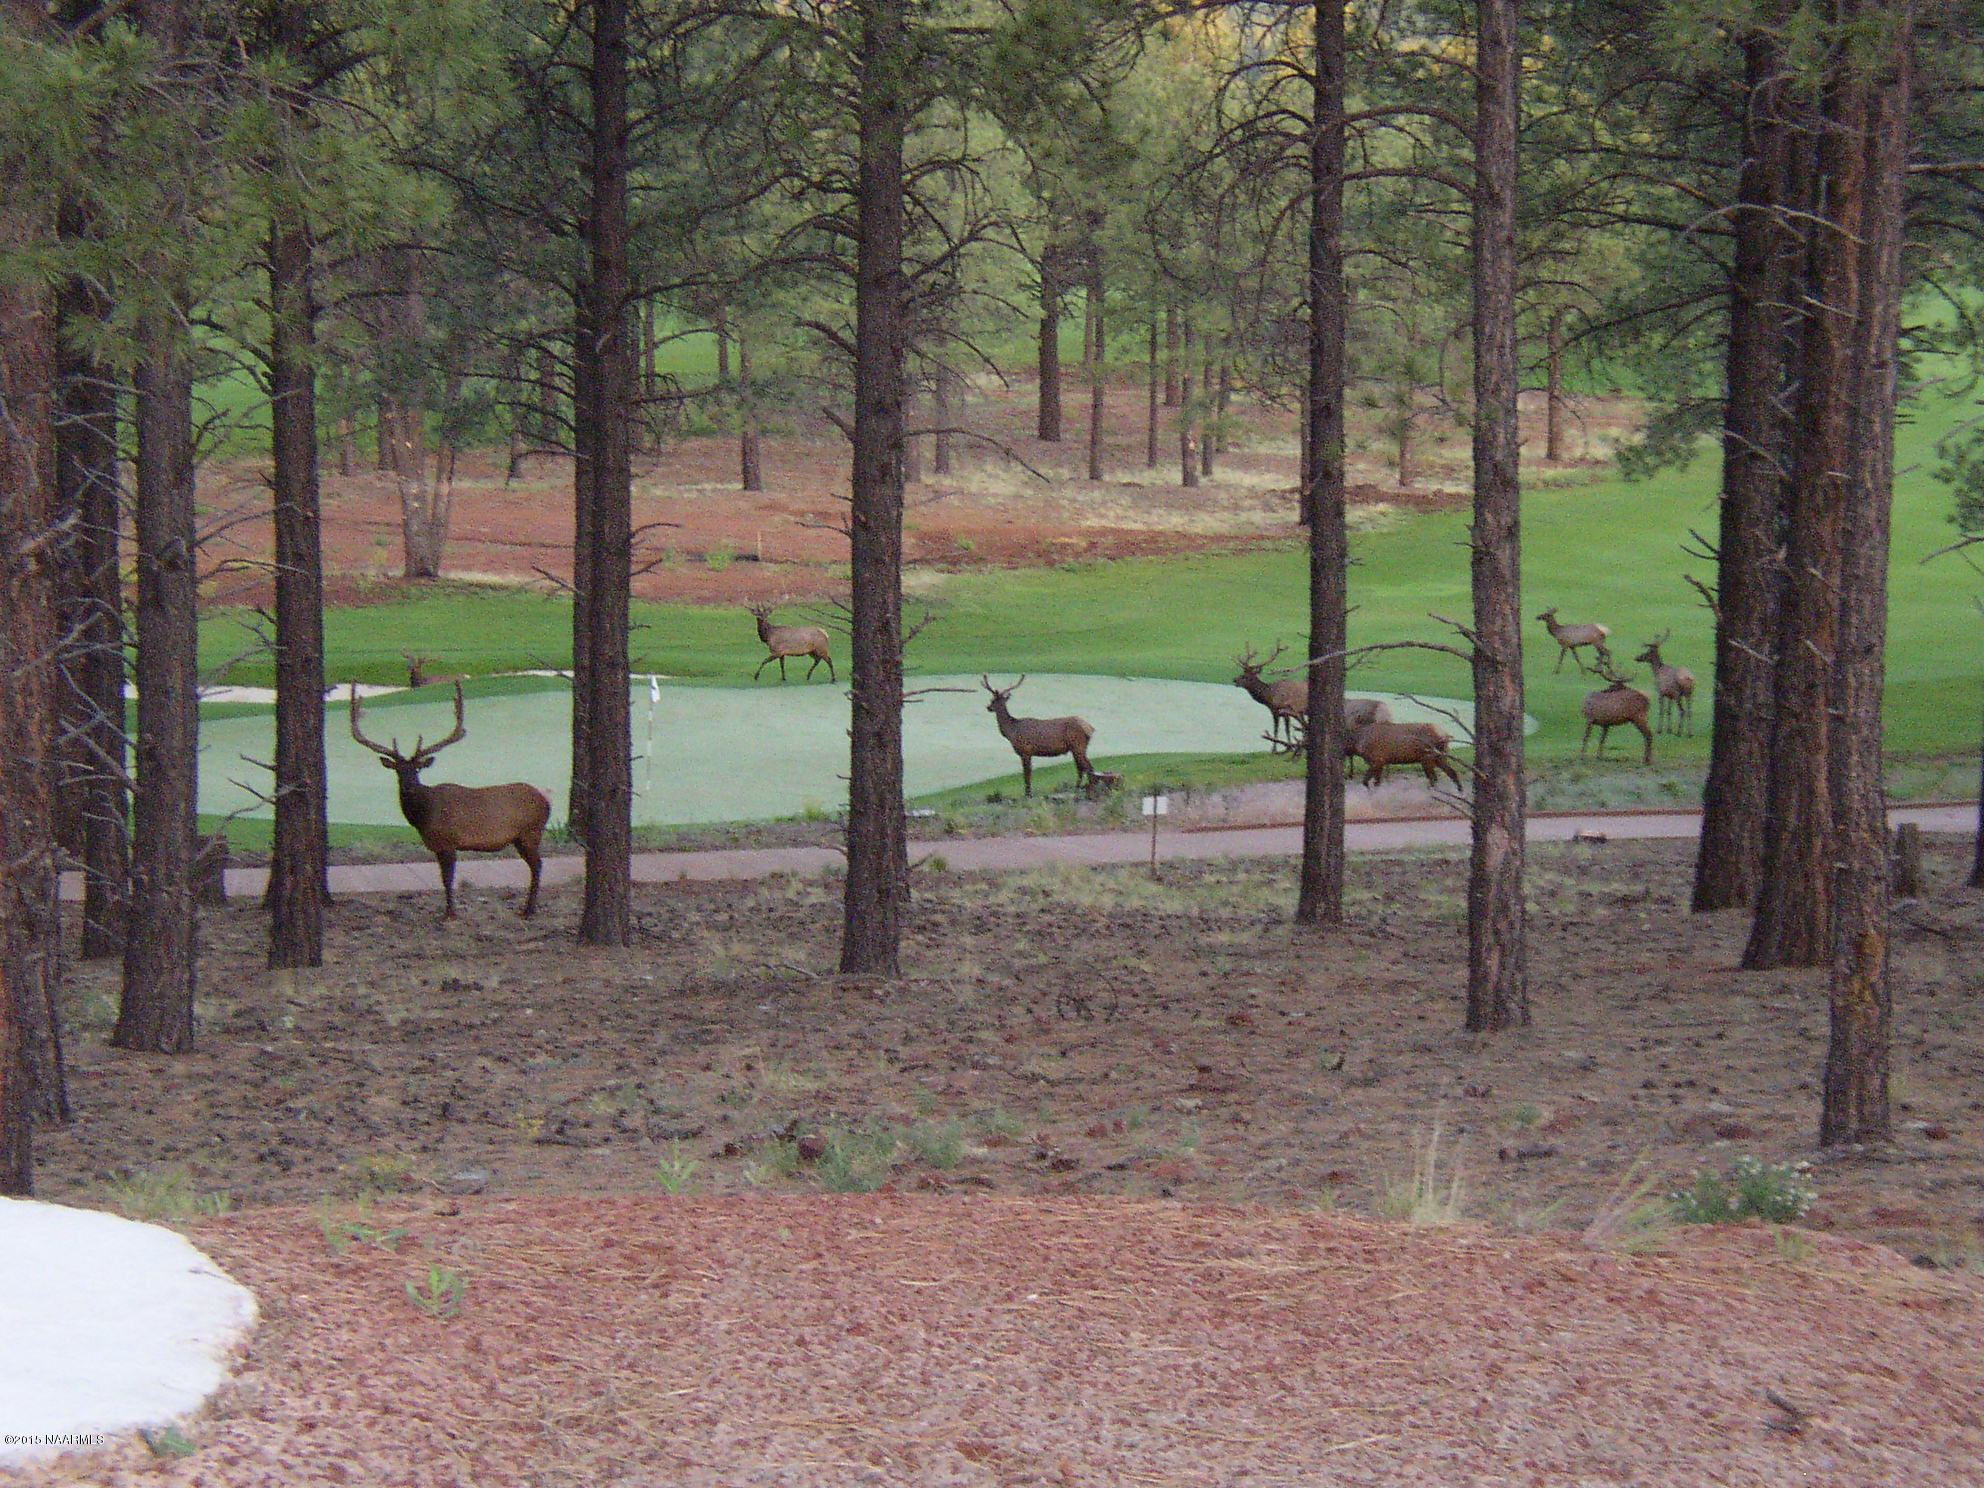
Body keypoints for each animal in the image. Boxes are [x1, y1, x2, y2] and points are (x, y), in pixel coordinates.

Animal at [348, 682, 553, 919]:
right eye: (398, 771)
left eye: (416, 770)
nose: (409, 787)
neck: (424, 815)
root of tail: (546, 801)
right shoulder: (437, 845)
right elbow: (442, 878)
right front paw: (449, 910)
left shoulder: (448, 841)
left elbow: (448, 879)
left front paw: (450, 913)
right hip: (522, 837)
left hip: (531, 831)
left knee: (538, 865)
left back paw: (529, 910)